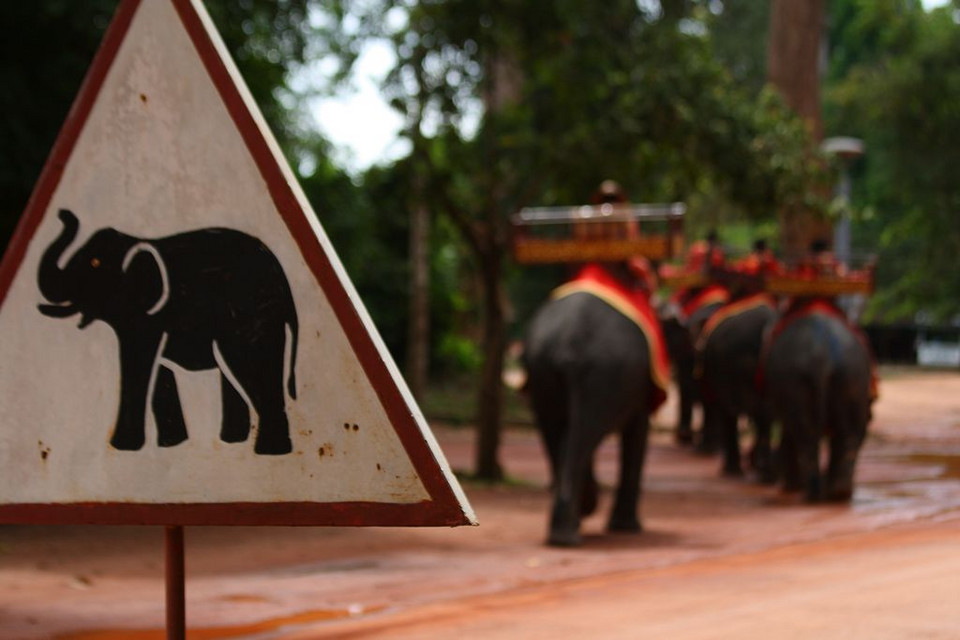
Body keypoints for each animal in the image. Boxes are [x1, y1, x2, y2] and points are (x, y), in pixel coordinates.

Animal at [36, 209, 300, 456]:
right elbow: (157, 370)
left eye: (94, 264)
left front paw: (124, 447)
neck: (134, 241)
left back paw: (270, 452)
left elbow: (139, 361)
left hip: (253, 317)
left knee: (251, 367)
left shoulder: (147, 317)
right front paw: (171, 445)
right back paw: (234, 442)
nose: (63, 214)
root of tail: (285, 286)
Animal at [520, 264, 664, 544]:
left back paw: (566, 530)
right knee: (582, 433)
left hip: (542, 368)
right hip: (606, 371)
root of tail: (569, 338)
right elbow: (638, 428)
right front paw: (626, 527)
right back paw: (573, 527)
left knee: (560, 431)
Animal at [696, 298, 780, 482]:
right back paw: (766, 472)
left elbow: (726, 410)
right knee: (766, 413)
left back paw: (762, 472)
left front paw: (732, 470)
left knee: (761, 413)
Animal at [760, 302, 872, 502]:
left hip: (797, 380)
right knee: (847, 432)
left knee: (806, 434)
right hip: (851, 375)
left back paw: (813, 492)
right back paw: (835, 492)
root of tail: (820, 354)